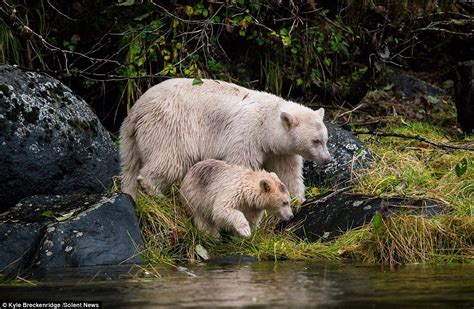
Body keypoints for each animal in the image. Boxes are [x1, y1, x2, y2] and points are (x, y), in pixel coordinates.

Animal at [120, 77, 332, 200]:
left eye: (325, 139)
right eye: (315, 141)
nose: (328, 159)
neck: (266, 124)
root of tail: (136, 110)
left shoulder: (279, 150)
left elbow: (288, 171)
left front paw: (297, 199)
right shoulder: (246, 135)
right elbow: (241, 163)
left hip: (131, 139)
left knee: (130, 165)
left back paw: (131, 194)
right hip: (170, 126)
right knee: (172, 159)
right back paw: (155, 191)